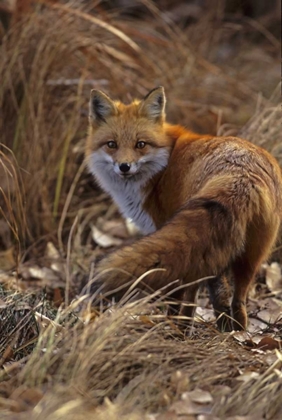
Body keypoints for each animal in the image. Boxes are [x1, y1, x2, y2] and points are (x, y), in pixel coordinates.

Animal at [85, 87, 282, 330]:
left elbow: (180, 294)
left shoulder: (163, 224)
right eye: (111, 144)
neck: (163, 165)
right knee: (239, 300)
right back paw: (236, 331)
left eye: (141, 144)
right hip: (251, 255)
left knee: (211, 292)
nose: (124, 167)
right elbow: (198, 295)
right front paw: (192, 324)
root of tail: (241, 177)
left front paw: (177, 322)